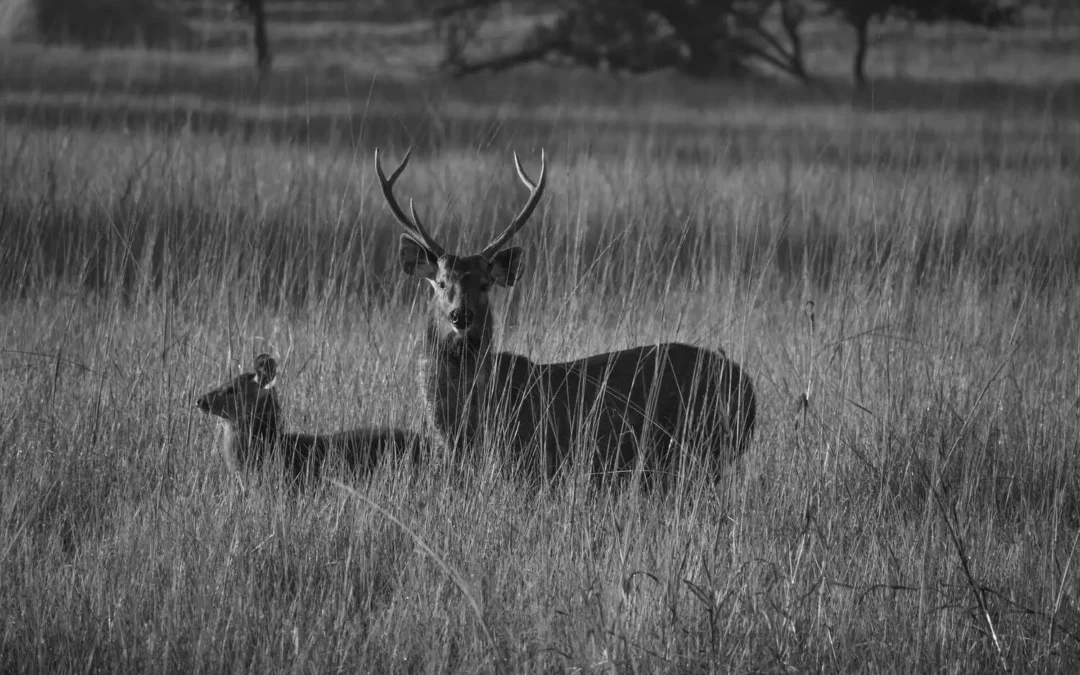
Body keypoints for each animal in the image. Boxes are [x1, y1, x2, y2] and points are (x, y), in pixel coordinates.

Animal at [375, 146, 756, 483]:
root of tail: (748, 386)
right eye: (440, 283)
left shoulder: (533, 462)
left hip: (702, 450)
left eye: (485, 284)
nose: (460, 316)